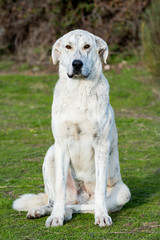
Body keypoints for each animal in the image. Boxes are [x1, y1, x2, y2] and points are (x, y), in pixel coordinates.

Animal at [13, 29, 131, 227]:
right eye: (68, 46)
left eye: (87, 46)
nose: (77, 64)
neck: (79, 90)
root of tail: (81, 196)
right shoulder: (61, 145)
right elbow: (60, 189)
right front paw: (56, 217)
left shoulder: (101, 145)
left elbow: (100, 189)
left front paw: (102, 216)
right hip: (51, 153)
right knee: (55, 201)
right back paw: (44, 211)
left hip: (123, 193)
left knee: (83, 206)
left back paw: (71, 212)